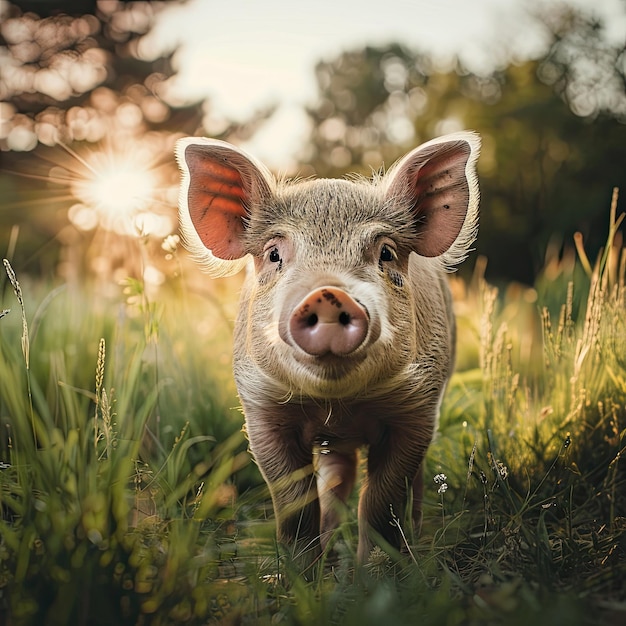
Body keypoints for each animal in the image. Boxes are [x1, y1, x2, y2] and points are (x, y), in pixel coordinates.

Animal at [178, 130, 480, 560]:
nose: (327, 293)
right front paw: (301, 571)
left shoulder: (418, 408)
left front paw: (375, 571)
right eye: (274, 253)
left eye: (386, 252)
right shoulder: (261, 409)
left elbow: (381, 503)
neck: (338, 405)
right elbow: (296, 505)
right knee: (337, 478)